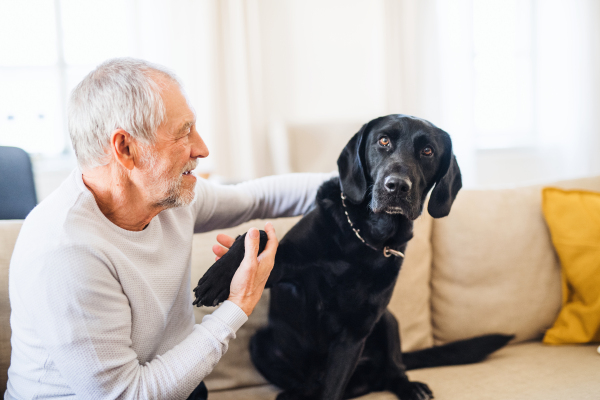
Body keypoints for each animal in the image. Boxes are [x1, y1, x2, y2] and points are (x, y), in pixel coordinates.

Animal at [195, 114, 512, 398]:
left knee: (391, 371)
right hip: (260, 344)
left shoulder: (355, 332)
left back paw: (410, 387)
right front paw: (217, 278)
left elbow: (333, 389)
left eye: (427, 151)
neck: (367, 236)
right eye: (383, 141)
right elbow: (257, 234)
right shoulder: (281, 271)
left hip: (388, 320)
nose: (397, 186)